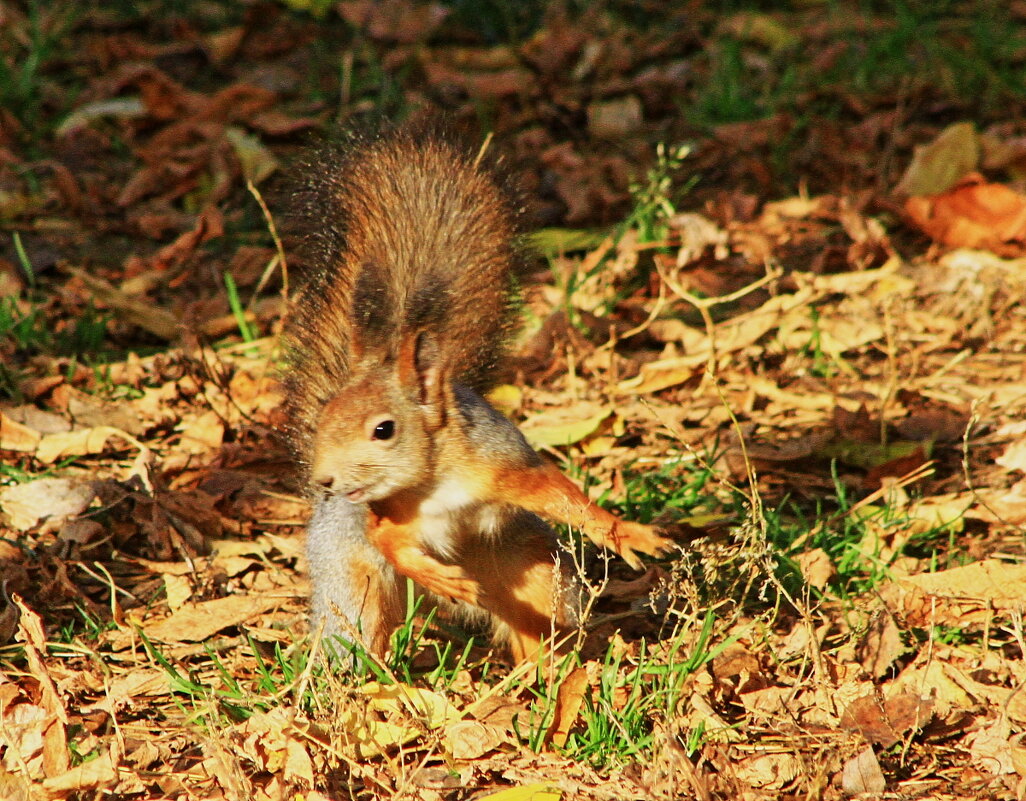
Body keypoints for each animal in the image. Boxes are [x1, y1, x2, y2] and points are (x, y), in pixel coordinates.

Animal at [281, 126, 668, 660]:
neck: (434, 481)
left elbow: (560, 496)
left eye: (384, 430)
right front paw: (438, 576)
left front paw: (623, 533)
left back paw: (547, 671)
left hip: (527, 568)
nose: (326, 479)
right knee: (358, 634)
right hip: (352, 585)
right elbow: (391, 542)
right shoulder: (388, 518)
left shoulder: (501, 467)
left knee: (537, 623)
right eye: (324, 417)